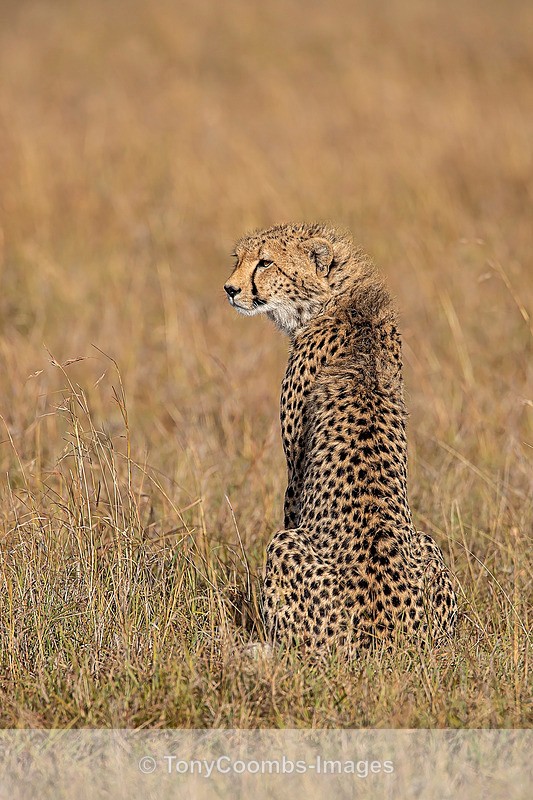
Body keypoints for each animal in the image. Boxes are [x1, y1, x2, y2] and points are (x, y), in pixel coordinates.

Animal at [224, 222, 457, 651]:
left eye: (265, 262)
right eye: (239, 258)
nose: (230, 289)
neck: (340, 300)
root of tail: (385, 641)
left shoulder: (296, 470)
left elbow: (292, 501)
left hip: (284, 546)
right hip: (429, 546)